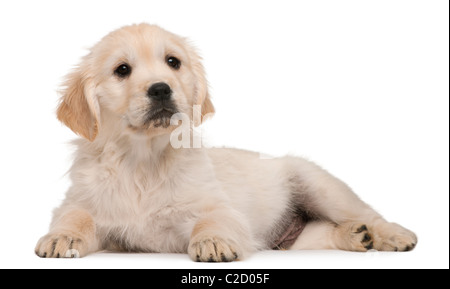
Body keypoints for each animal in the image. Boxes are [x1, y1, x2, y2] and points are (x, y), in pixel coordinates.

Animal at [35, 23, 418, 260]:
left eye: (173, 62)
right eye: (122, 70)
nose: (161, 89)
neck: (142, 160)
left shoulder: (218, 206)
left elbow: (213, 219)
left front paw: (213, 241)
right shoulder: (84, 204)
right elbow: (74, 216)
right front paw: (60, 237)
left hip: (319, 185)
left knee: (367, 212)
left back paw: (392, 235)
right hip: (295, 241)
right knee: (324, 233)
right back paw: (355, 236)